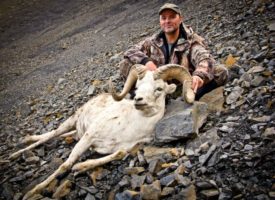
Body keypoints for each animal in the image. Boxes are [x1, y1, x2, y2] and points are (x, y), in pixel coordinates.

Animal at [9, 63, 195, 198]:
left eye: (159, 89)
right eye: (137, 87)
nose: (138, 99)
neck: (132, 126)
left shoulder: (124, 147)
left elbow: (119, 153)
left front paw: (80, 167)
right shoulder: (89, 137)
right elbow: (65, 165)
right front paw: (31, 192)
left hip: (75, 132)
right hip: (71, 122)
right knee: (49, 136)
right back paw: (14, 153)